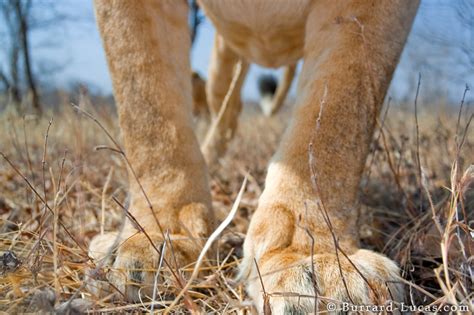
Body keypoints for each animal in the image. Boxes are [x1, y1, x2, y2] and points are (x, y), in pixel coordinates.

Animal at [88, 0, 418, 314]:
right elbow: (147, 111)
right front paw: (154, 239)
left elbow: (337, 113)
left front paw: (318, 262)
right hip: (224, 61)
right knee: (225, 111)